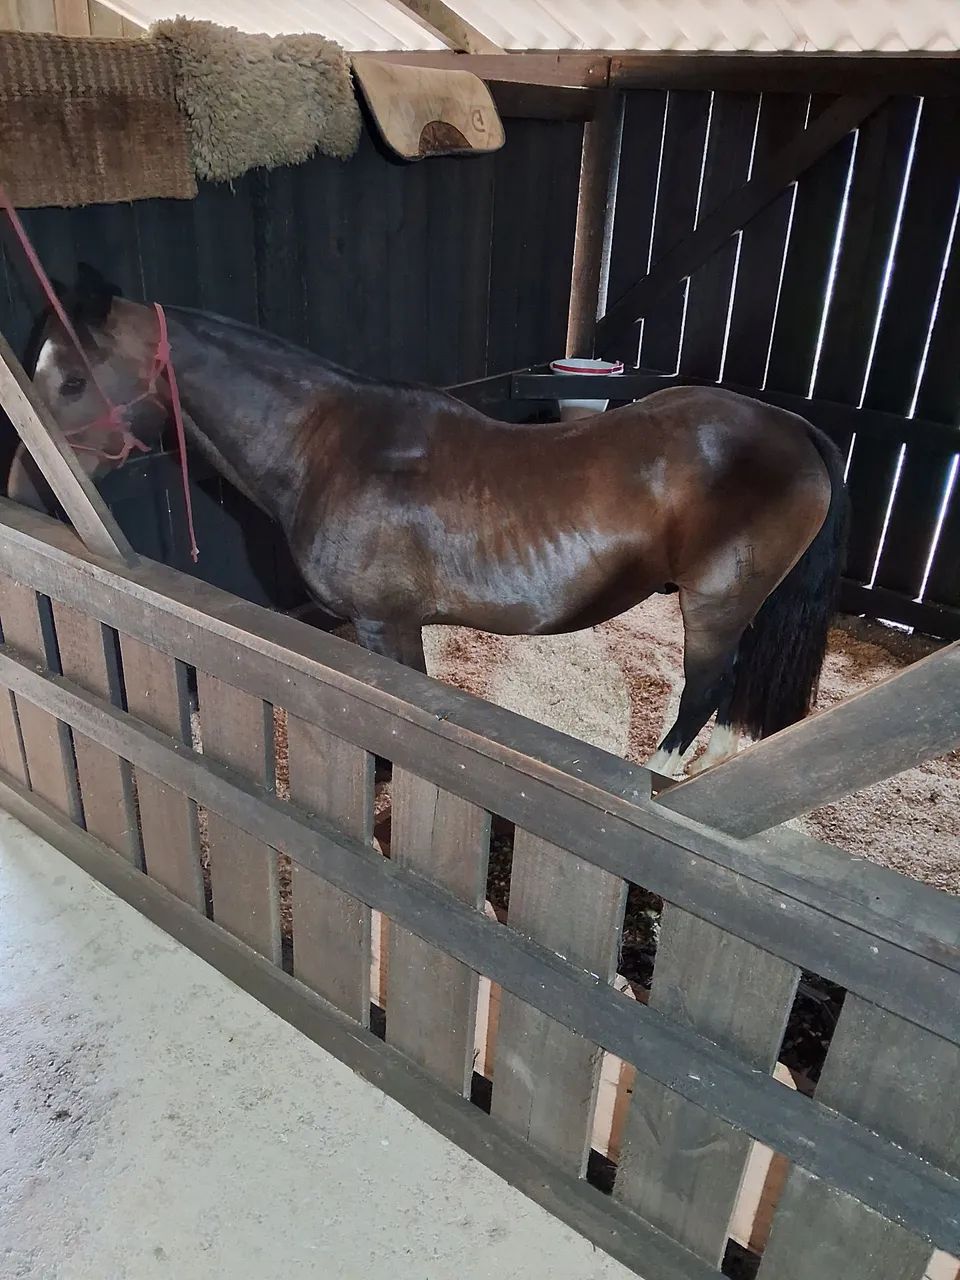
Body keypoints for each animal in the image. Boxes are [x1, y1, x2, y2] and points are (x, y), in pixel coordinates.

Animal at [16, 263, 848, 777]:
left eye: (70, 381)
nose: (25, 485)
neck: (328, 445)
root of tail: (792, 427)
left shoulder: (382, 622)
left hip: (714, 604)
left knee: (706, 689)